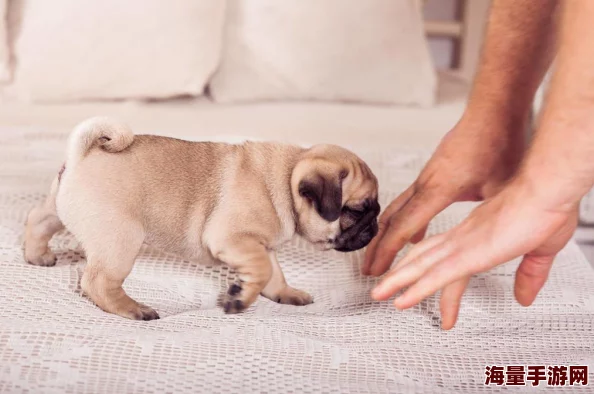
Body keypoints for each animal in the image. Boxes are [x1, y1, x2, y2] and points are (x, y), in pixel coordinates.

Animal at [24, 117, 380, 320]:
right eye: (356, 210)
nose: (374, 227)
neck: (286, 176)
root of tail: (83, 155)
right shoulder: (233, 240)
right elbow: (262, 272)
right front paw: (240, 299)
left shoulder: (261, 246)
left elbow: (273, 275)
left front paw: (285, 293)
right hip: (121, 239)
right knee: (97, 282)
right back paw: (133, 309)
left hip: (59, 208)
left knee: (38, 220)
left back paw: (37, 255)